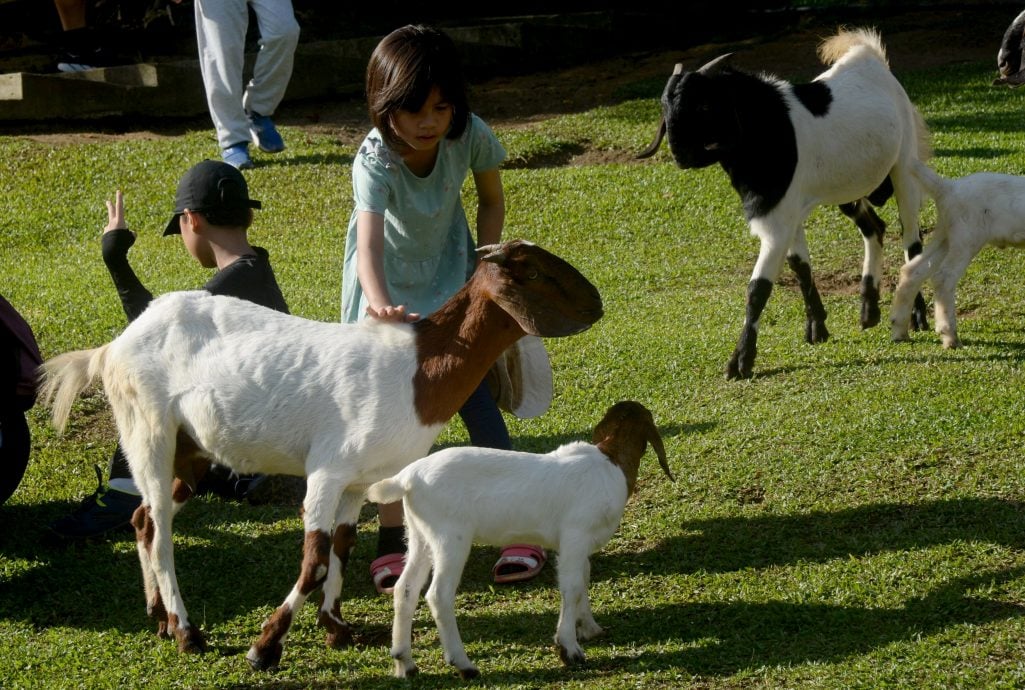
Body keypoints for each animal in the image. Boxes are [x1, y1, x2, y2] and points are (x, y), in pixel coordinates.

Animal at [639, 29, 938, 379]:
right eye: (665, 105)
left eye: (703, 105)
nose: (680, 154)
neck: (766, 131)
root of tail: (871, 57)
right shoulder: (789, 211)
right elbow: (800, 266)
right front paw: (817, 328)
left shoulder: (777, 222)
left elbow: (758, 288)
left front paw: (740, 362)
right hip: (850, 190)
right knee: (874, 228)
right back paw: (869, 310)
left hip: (904, 167)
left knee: (911, 239)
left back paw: (916, 317)